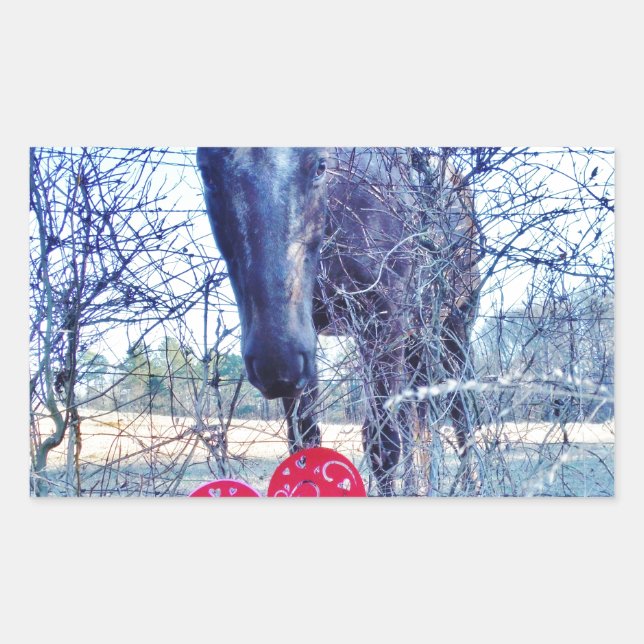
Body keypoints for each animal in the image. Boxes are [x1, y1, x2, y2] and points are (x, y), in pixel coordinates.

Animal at [196, 147, 481, 495]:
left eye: (320, 165)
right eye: (207, 172)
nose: (275, 361)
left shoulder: (382, 324)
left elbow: (383, 446)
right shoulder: (307, 343)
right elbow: (304, 441)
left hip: (454, 329)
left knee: (460, 417)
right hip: (417, 341)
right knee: (418, 424)